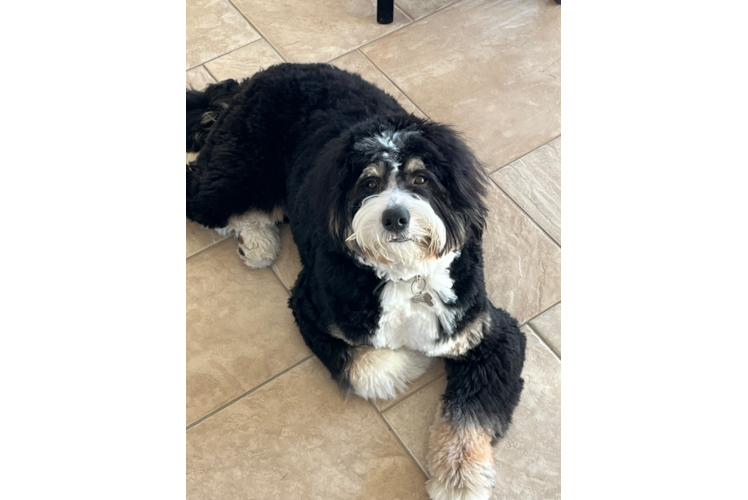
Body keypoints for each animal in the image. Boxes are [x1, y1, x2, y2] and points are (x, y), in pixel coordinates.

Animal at [186, 62, 524, 500]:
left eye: (420, 180)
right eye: (368, 183)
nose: (395, 217)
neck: (402, 274)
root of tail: (255, 78)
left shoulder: (489, 334)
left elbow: (470, 416)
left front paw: (460, 480)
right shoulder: (312, 306)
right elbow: (369, 367)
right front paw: (413, 360)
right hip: (236, 172)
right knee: (202, 193)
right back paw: (257, 241)